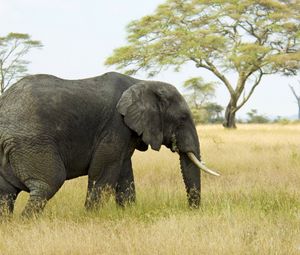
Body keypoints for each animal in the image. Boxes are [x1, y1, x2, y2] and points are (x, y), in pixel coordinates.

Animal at [0, 71, 218, 217]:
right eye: (182, 118)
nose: (192, 210)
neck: (142, 83)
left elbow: (124, 172)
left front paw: (128, 213)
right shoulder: (115, 125)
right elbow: (103, 171)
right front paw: (90, 217)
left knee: (6, 192)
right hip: (31, 142)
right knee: (48, 183)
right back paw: (27, 223)